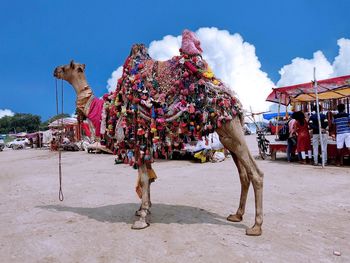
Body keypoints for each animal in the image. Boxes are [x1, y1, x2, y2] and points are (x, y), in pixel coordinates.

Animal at [53, 29, 264, 237]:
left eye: (67, 67)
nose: (55, 69)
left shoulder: (137, 142)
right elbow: (146, 178)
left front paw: (141, 218)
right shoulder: (142, 144)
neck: (108, 110)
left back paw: (256, 226)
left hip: (230, 129)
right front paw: (142, 210)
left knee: (255, 173)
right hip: (226, 134)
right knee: (243, 174)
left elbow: (144, 179)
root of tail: (233, 100)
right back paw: (236, 215)